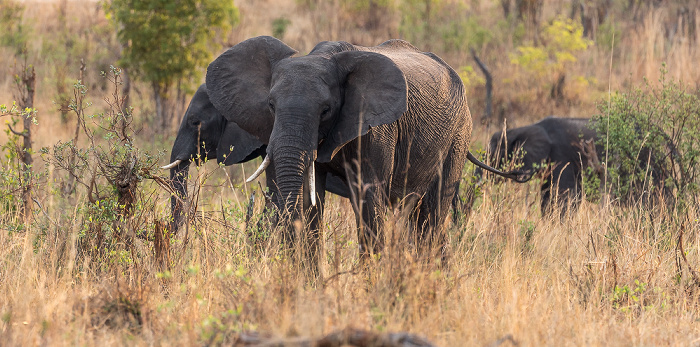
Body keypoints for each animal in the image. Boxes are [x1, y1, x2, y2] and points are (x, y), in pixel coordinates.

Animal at [205, 36, 524, 270]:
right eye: (270, 106)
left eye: (326, 110)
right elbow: (311, 201)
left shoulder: (376, 128)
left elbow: (368, 199)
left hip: (459, 134)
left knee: (432, 215)